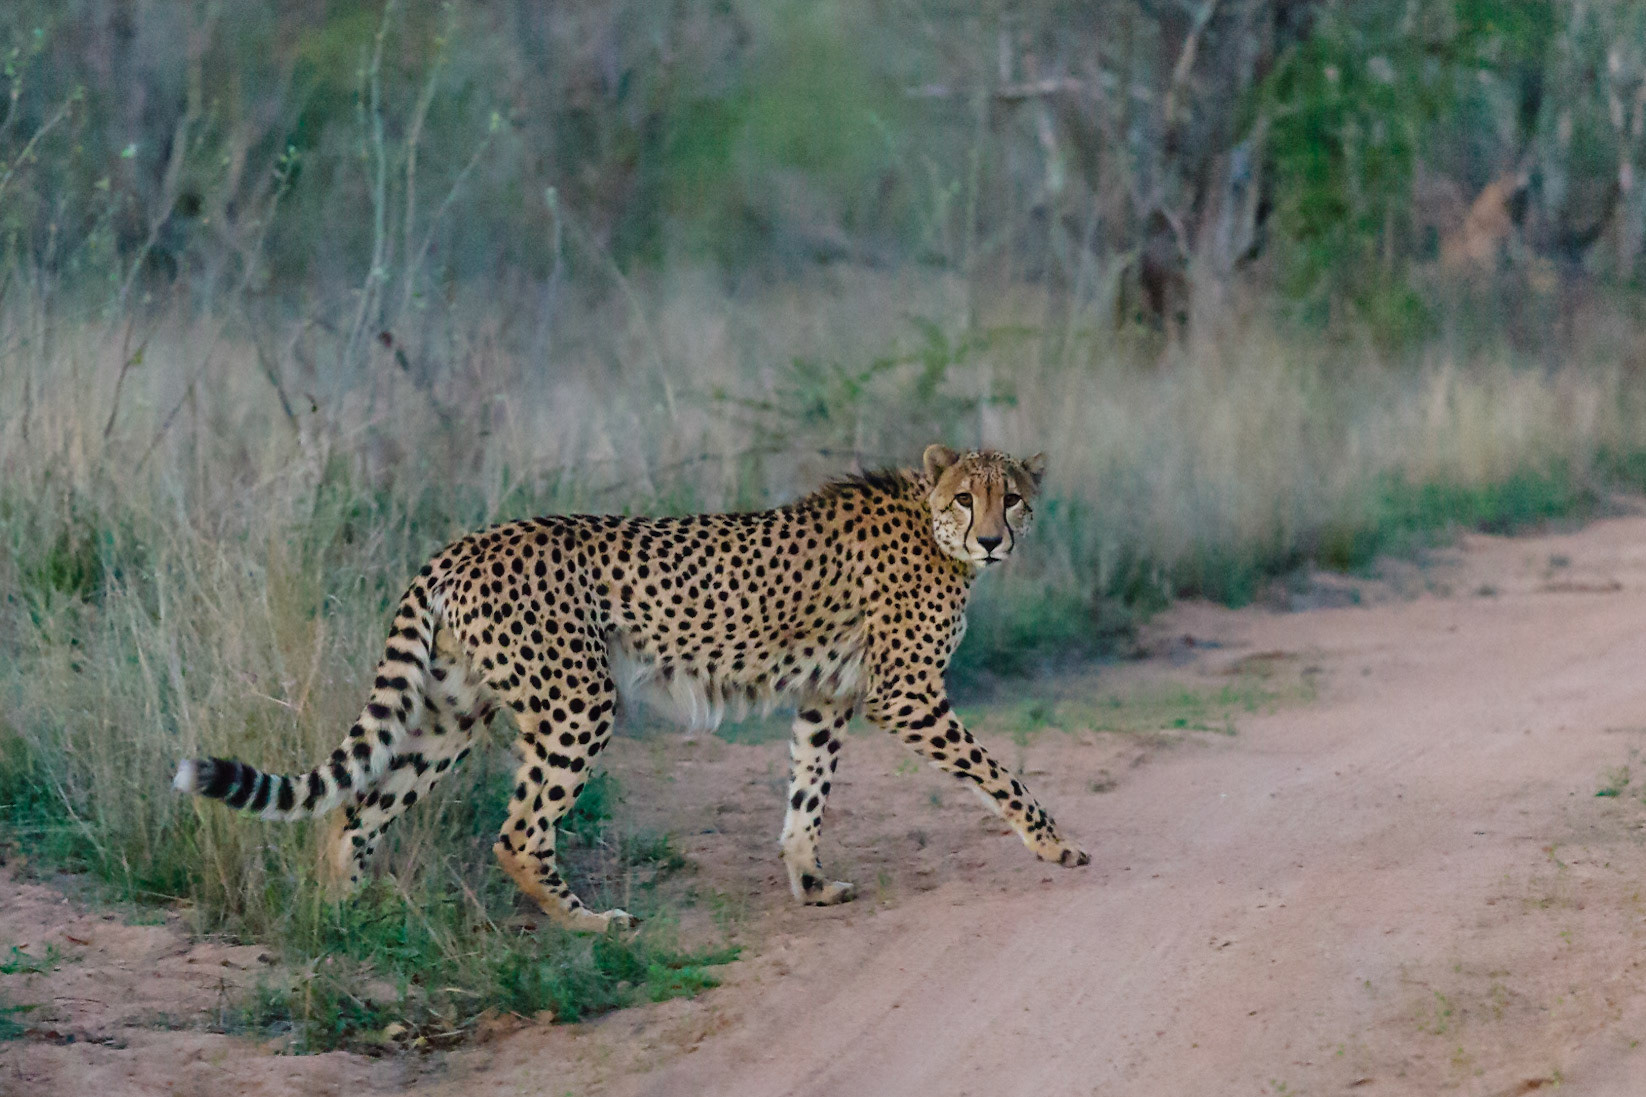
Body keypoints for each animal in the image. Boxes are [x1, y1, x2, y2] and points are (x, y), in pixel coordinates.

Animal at [173, 444, 1089, 931]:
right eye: (966, 497)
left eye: (1014, 497)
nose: (995, 537)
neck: (934, 533)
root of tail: (465, 544)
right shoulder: (905, 694)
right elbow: (998, 770)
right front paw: (1054, 843)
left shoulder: (827, 696)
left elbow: (808, 791)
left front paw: (808, 881)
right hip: (578, 701)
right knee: (518, 831)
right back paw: (586, 922)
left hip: (452, 712)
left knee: (359, 810)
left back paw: (348, 918)